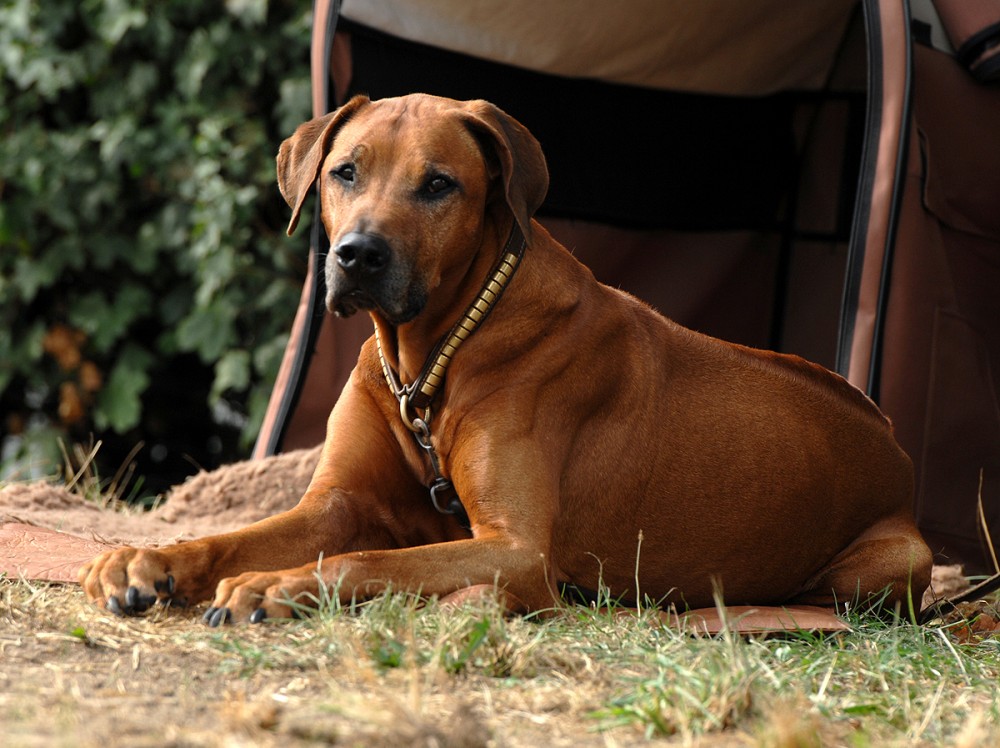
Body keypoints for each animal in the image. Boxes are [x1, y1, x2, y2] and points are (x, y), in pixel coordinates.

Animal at [79, 94, 932, 624]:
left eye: (439, 185)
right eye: (344, 171)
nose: (357, 256)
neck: (434, 356)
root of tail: (896, 442)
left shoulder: (514, 552)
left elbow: (364, 562)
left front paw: (276, 584)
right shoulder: (337, 504)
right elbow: (234, 534)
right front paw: (145, 560)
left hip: (888, 564)